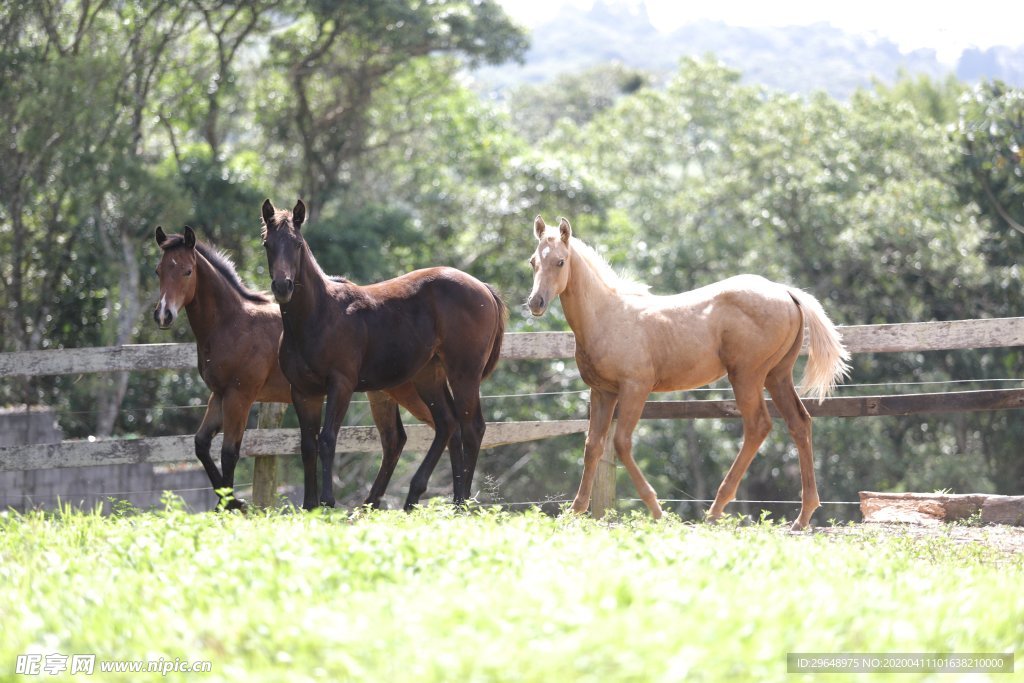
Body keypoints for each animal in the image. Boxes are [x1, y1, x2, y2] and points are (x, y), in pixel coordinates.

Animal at [151, 227, 436, 509]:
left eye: (188, 271)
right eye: (158, 270)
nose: (163, 315)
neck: (232, 324)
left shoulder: (239, 396)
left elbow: (229, 452)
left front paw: (233, 505)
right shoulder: (218, 395)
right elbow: (201, 444)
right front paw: (230, 502)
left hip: (411, 393)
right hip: (382, 394)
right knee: (394, 440)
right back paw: (370, 506)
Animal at [260, 200, 507, 509]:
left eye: (297, 244)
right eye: (267, 244)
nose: (283, 287)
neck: (318, 315)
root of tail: (484, 288)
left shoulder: (341, 384)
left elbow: (328, 439)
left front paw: (328, 502)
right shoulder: (304, 392)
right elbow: (307, 445)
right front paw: (309, 506)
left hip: (464, 373)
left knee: (472, 428)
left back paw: (459, 505)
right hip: (428, 376)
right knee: (448, 424)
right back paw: (418, 497)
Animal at [528, 216, 847, 532]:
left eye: (560, 261)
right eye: (533, 261)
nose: (535, 303)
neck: (606, 316)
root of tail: (785, 291)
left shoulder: (635, 388)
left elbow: (621, 443)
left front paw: (658, 511)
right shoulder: (602, 392)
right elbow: (593, 445)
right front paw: (575, 511)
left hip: (747, 376)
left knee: (758, 425)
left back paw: (715, 511)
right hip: (777, 376)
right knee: (799, 423)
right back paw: (802, 517)